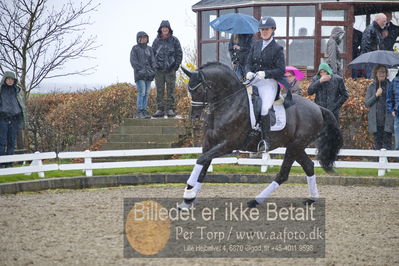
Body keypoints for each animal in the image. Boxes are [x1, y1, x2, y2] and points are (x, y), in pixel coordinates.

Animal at [180, 62, 342, 210]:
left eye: (199, 89)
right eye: (188, 89)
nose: (194, 116)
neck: (230, 103)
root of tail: (318, 107)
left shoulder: (228, 144)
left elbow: (201, 160)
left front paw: (188, 193)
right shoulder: (210, 143)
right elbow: (203, 165)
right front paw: (189, 199)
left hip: (295, 146)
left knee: (283, 174)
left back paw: (255, 201)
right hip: (295, 146)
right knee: (308, 166)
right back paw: (311, 199)